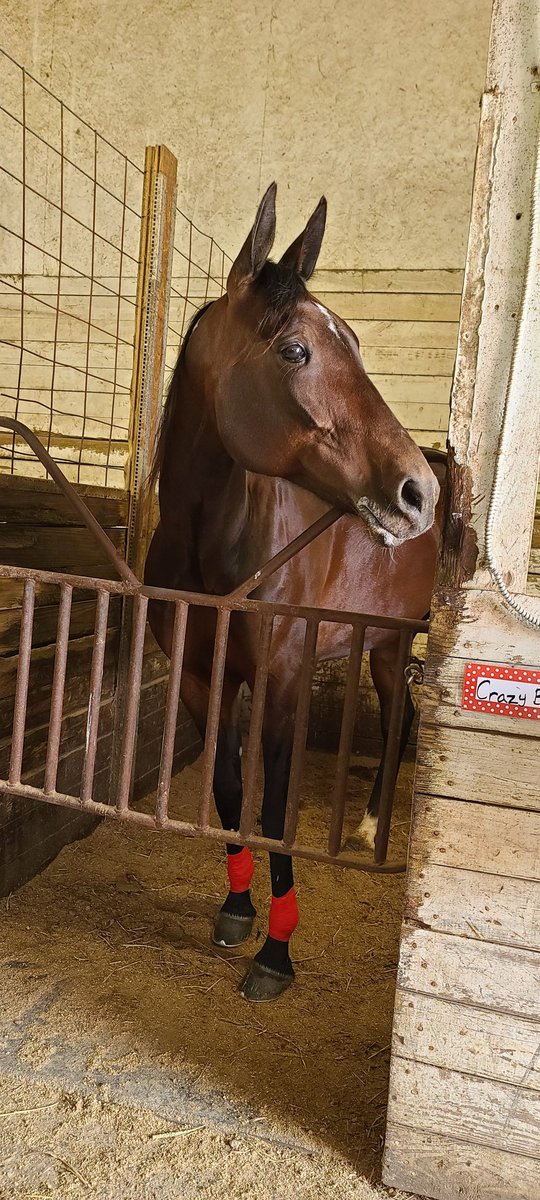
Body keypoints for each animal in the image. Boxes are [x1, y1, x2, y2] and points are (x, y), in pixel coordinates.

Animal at [145, 183, 444, 1002]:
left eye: (359, 345)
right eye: (294, 350)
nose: (418, 494)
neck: (215, 550)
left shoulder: (280, 680)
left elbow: (274, 806)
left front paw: (276, 952)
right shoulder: (201, 676)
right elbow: (227, 787)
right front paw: (238, 909)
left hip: (397, 642)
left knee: (400, 717)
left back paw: (371, 829)